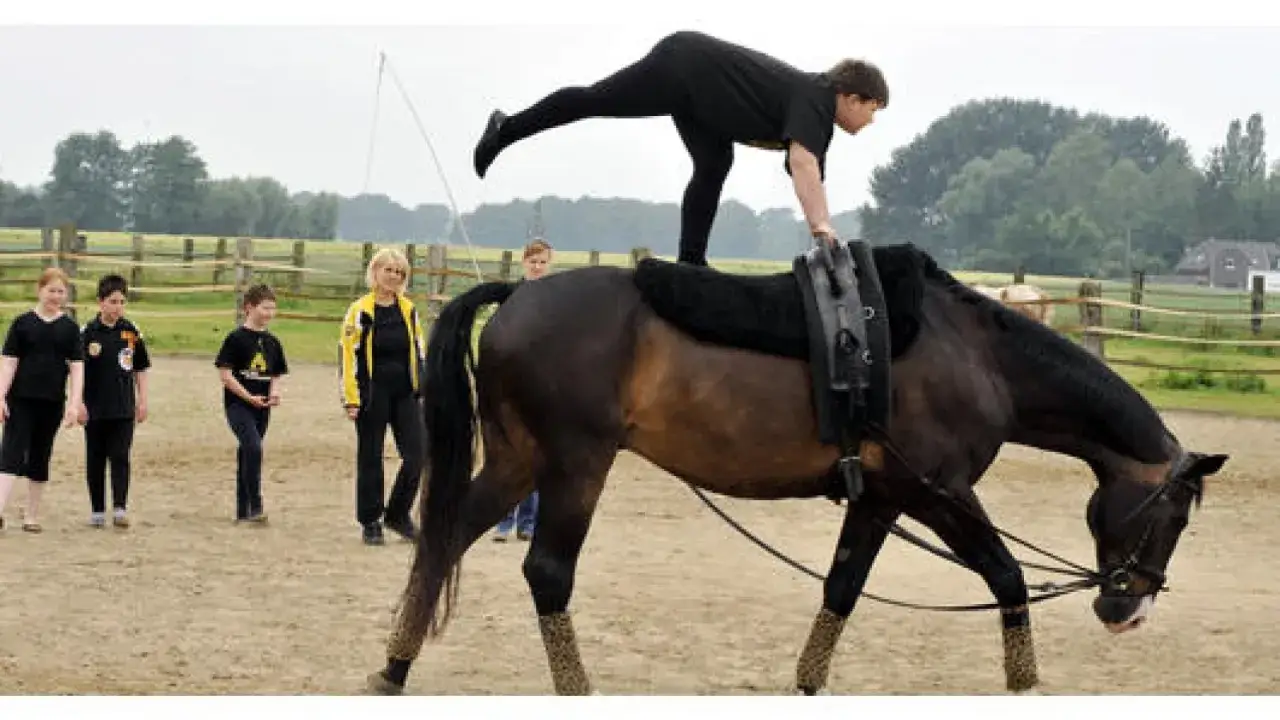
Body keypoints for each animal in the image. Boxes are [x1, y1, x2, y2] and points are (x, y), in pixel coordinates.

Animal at [367, 242, 1227, 696]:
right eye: (1175, 517)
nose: (1127, 609)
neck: (975, 353)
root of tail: (519, 293)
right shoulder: (940, 492)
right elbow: (1008, 577)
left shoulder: (882, 498)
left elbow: (841, 590)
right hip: (576, 464)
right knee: (547, 573)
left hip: (519, 461)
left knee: (442, 541)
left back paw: (394, 669)